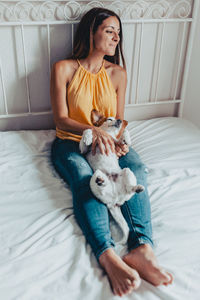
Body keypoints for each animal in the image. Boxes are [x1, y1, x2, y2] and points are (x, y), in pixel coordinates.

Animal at [79, 110, 145, 244]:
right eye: (109, 119)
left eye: (118, 120)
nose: (119, 120)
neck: (108, 134)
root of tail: (115, 200)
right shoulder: (84, 150)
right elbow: (87, 130)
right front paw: (88, 137)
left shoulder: (119, 144)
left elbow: (123, 137)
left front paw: (126, 137)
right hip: (94, 176)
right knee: (101, 187)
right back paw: (101, 181)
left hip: (127, 172)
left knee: (129, 190)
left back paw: (136, 188)